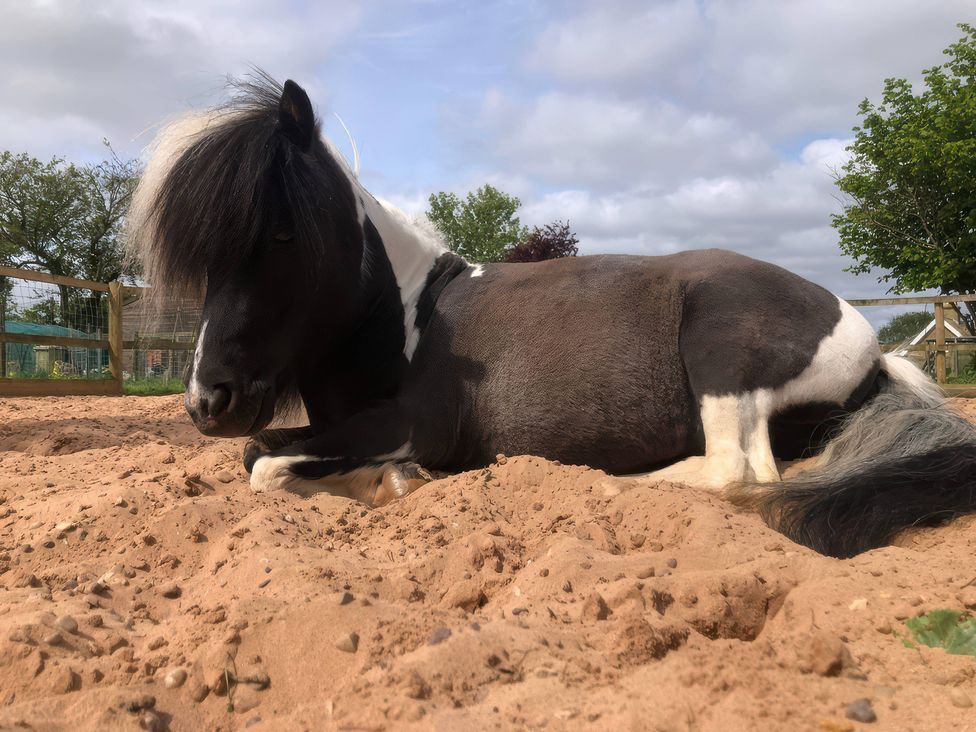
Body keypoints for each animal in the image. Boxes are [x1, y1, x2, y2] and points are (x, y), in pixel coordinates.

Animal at [128, 74, 976, 559]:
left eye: (281, 234)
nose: (206, 403)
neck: (405, 315)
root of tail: (867, 345)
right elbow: (259, 455)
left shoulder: (411, 422)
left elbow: (265, 467)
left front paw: (394, 480)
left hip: (722, 348)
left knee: (737, 469)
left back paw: (617, 484)